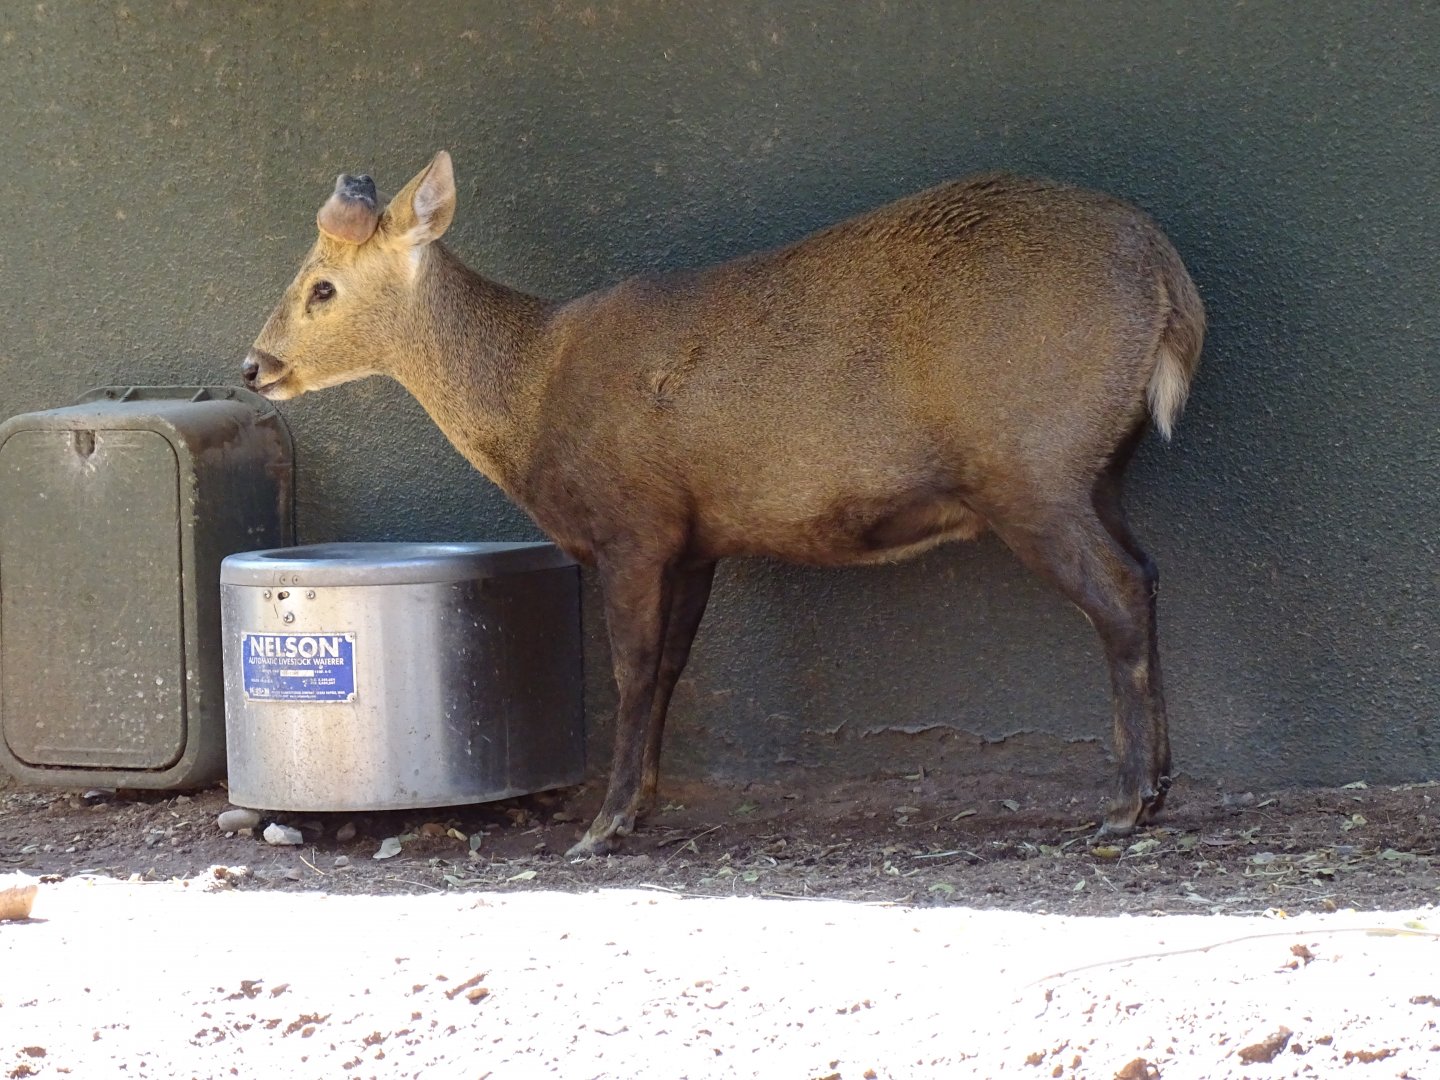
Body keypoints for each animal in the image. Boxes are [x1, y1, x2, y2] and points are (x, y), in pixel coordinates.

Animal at [245, 151, 1204, 857]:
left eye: (322, 286)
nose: (255, 365)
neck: (530, 396)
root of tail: (1170, 284)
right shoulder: (695, 535)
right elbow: (673, 665)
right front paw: (639, 806)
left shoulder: (630, 523)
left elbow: (632, 669)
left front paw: (601, 826)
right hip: (1095, 469)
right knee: (1149, 571)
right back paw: (1154, 788)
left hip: (1031, 463)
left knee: (1118, 594)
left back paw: (1126, 803)